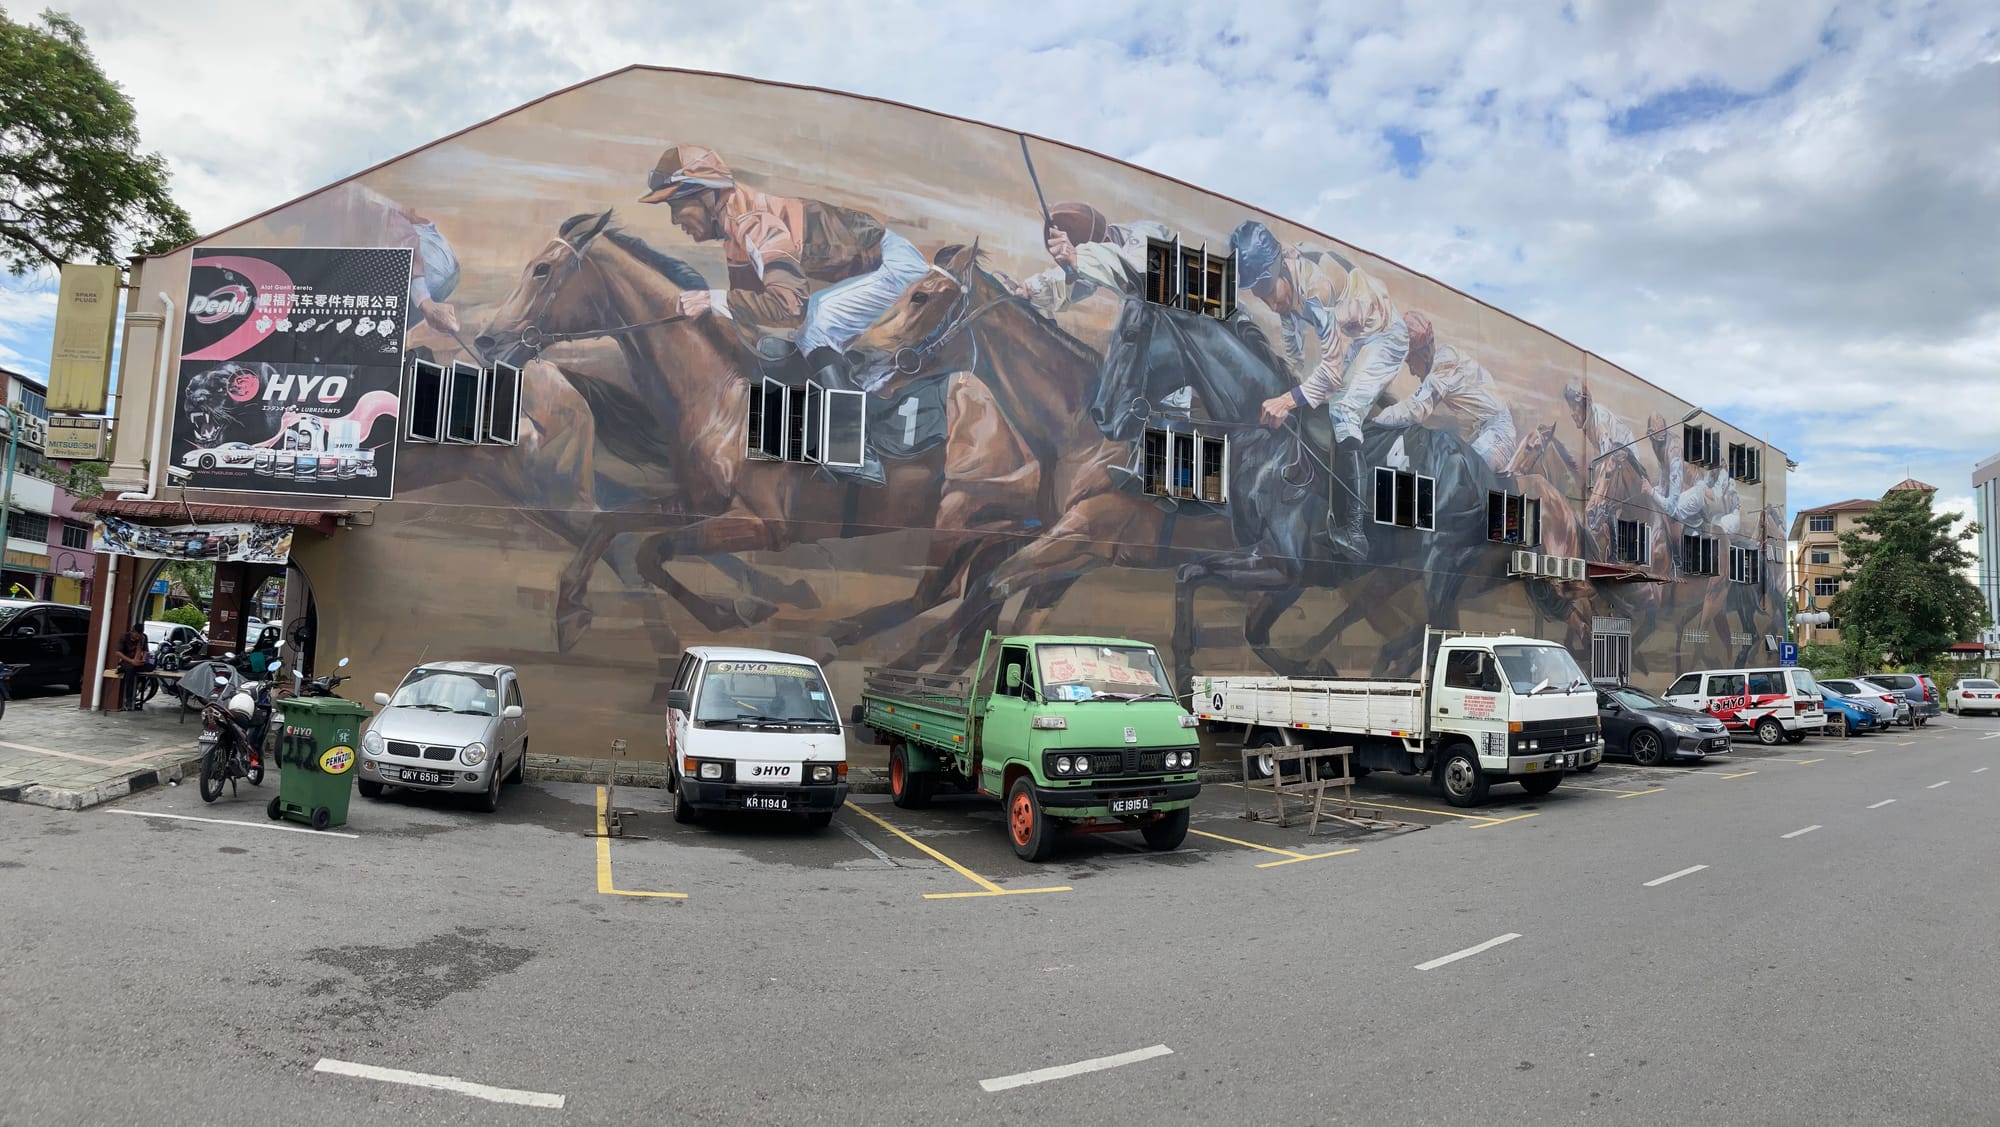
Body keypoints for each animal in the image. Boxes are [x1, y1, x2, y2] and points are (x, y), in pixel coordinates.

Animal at [472, 211, 1048, 679]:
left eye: (542, 270)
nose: (487, 340)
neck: (725, 395)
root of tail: (1019, 439)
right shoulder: (698, 501)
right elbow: (616, 527)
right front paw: (571, 608)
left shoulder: (764, 524)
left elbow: (653, 549)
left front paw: (736, 611)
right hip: (985, 533)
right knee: (978, 590)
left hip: (958, 513)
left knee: (941, 590)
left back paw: (843, 639)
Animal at [1096, 299, 1504, 687]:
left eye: (1131, 335)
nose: (1102, 414)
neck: (1264, 440)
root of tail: (1485, 472)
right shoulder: (1293, 575)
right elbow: (1249, 626)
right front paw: (1314, 666)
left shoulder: (1283, 564)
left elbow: (1192, 571)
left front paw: (1184, 675)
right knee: (1441, 629)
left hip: (1442, 560)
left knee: (1442, 632)